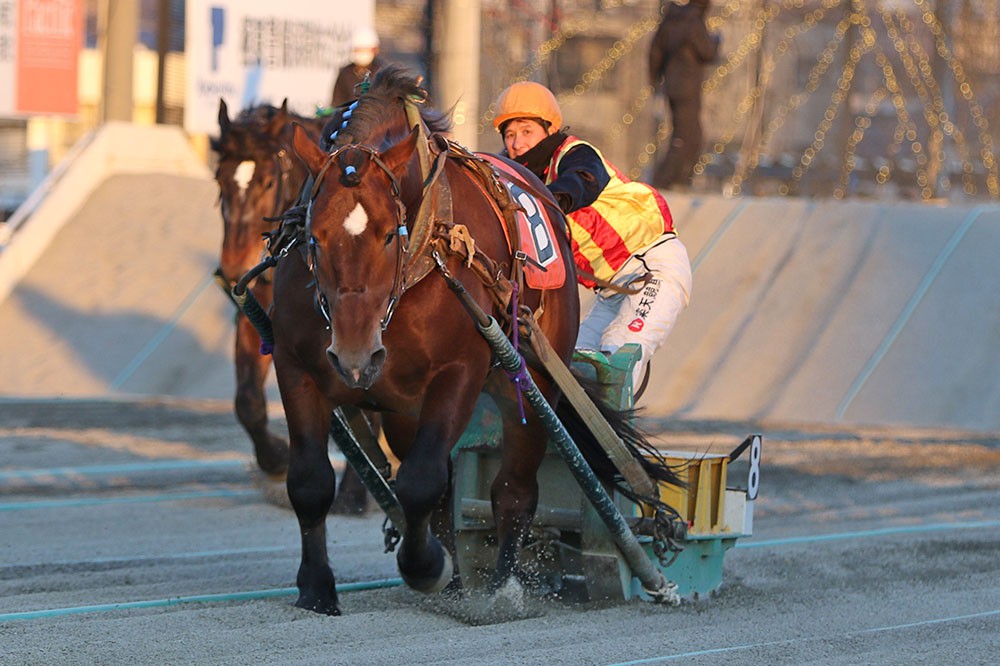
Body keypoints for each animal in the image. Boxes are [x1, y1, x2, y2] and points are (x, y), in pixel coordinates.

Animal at [271, 65, 680, 615]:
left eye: (387, 234)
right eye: (314, 236)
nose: (356, 357)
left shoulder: (459, 371)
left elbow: (422, 480)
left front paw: (427, 567)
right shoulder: (296, 367)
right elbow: (310, 482)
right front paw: (316, 586)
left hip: (531, 382)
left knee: (514, 488)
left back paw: (503, 585)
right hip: (402, 406)